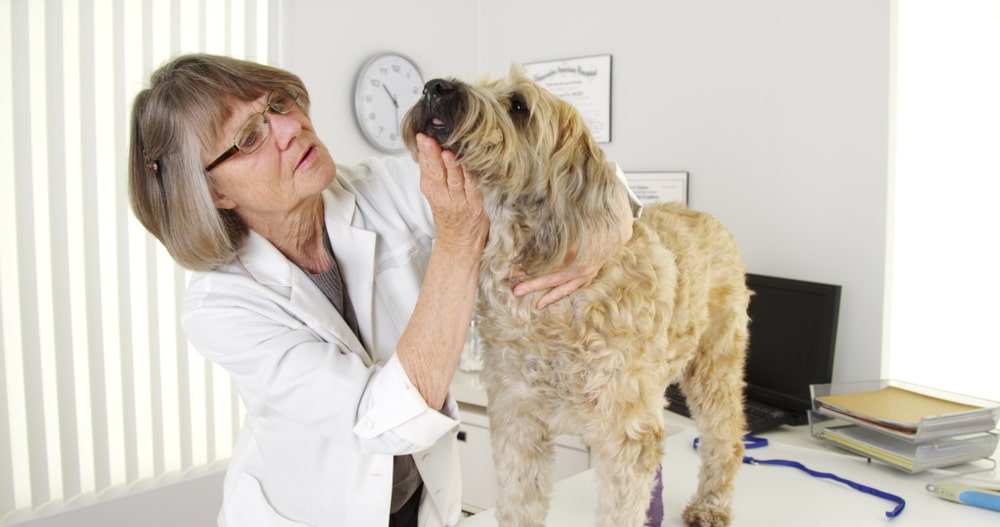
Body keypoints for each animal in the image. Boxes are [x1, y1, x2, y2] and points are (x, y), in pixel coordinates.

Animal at [402, 67, 748, 527]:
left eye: (519, 106)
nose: (434, 86)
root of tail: (707, 216)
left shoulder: (624, 434)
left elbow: (621, 509)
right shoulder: (517, 419)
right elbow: (519, 503)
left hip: (715, 366)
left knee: (726, 437)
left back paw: (710, 505)